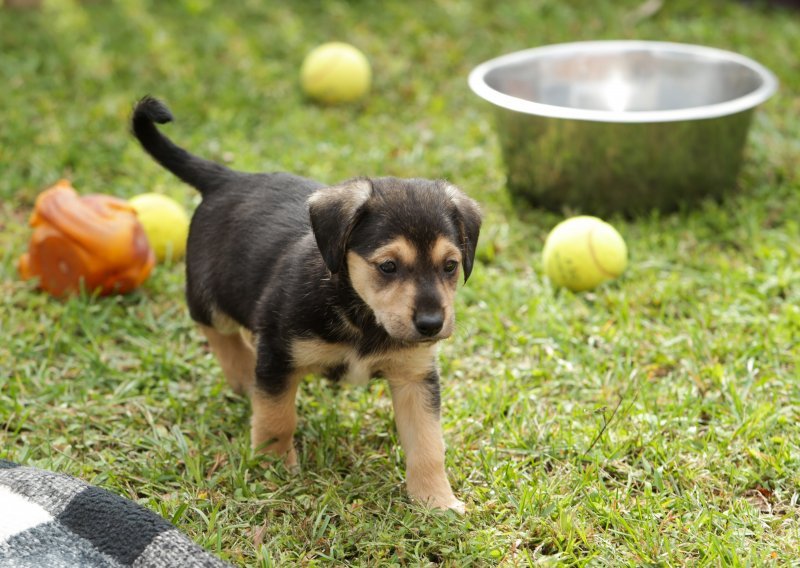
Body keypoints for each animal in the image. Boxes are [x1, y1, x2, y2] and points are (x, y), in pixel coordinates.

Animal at [132, 95, 482, 512]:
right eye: (388, 266)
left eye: (450, 266)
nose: (431, 325)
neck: (358, 312)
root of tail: (227, 178)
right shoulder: (278, 356)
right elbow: (276, 418)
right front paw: (272, 468)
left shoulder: (416, 377)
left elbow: (428, 443)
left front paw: (436, 500)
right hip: (210, 297)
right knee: (216, 330)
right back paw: (243, 372)